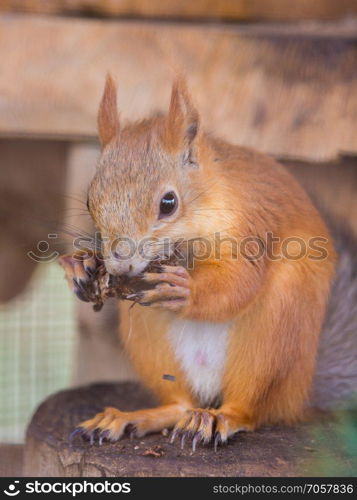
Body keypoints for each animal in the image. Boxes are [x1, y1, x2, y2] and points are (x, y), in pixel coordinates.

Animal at [58, 73, 336, 450]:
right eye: (89, 201)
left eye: (169, 203)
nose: (119, 266)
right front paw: (80, 267)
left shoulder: (248, 226)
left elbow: (240, 281)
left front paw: (185, 290)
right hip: (150, 334)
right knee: (178, 404)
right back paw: (133, 418)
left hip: (278, 329)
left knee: (250, 408)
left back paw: (222, 418)